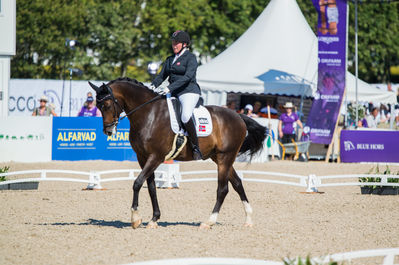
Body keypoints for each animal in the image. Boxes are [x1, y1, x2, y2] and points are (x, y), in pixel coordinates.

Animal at [89, 77, 268, 228]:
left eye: (106, 105)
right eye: (98, 107)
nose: (108, 131)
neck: (149, 114)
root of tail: (238, 116)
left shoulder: (156, 157)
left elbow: (137, 183)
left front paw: (135, 218)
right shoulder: (143, 157)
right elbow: (151, 187)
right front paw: (154, 219)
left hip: (225, 157)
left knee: (223, 189)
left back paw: (209, 222)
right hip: (219, 158)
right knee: (237, 183)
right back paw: (248, 220)